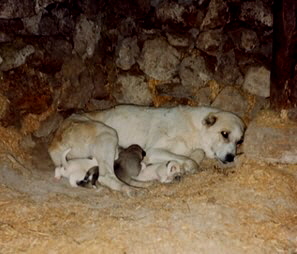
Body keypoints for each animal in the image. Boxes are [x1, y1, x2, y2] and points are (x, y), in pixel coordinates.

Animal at [49, 104, 245, 194]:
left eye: (239, 141)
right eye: (225, 134)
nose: (231, 157)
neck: (194, 127)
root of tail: (53, 144)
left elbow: (196, 154)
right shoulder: (152, 152)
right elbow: (191, 161)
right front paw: (186, 168)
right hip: (108, 133)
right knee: (107, 176)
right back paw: (133, 189)